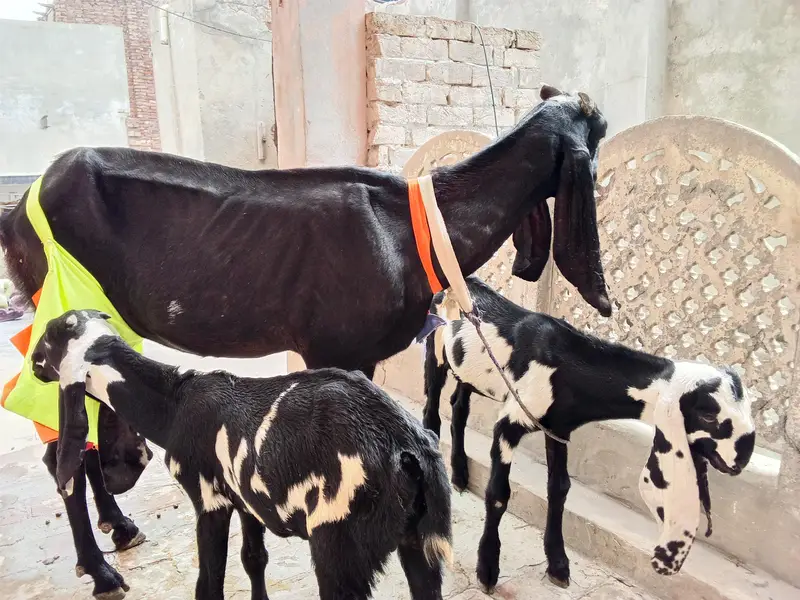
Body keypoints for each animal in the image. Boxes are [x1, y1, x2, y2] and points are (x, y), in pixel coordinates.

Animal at [32, 310, 453, 600]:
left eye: (48, 341)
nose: (33, 366)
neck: (173, 406)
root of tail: (406, 449)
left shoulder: (210, 499)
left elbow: (208, 586)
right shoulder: (248, 500)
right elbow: (254, 559)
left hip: (338, 544)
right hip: (420, 543)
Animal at [422, 276, 756, 593]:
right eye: (707, 413)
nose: (741, 459)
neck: (566, 365)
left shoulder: (558, 428)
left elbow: (559, 490)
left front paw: (558, 565)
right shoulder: (509, 424)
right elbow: (498, 493)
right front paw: (488, 569)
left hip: (467, 371)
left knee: (459, 407)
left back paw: (460, 473)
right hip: (434, 351)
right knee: (431, 413)